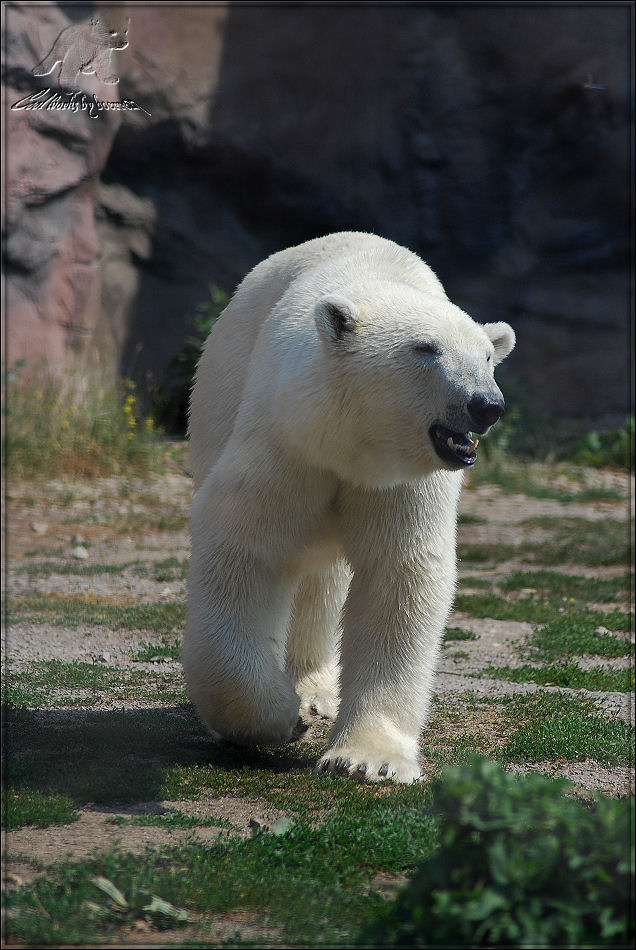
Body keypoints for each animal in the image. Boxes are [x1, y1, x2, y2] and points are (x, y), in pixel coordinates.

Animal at [181, 234, 516, 784]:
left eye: (488, 356)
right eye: (426, 349)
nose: (485, 405)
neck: (349, 445)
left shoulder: (402, 484)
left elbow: (398, 575)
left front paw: (366, 759)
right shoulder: (287, 443)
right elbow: (245, 548)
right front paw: (277, 718)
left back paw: (315, 690)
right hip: (218, 388)